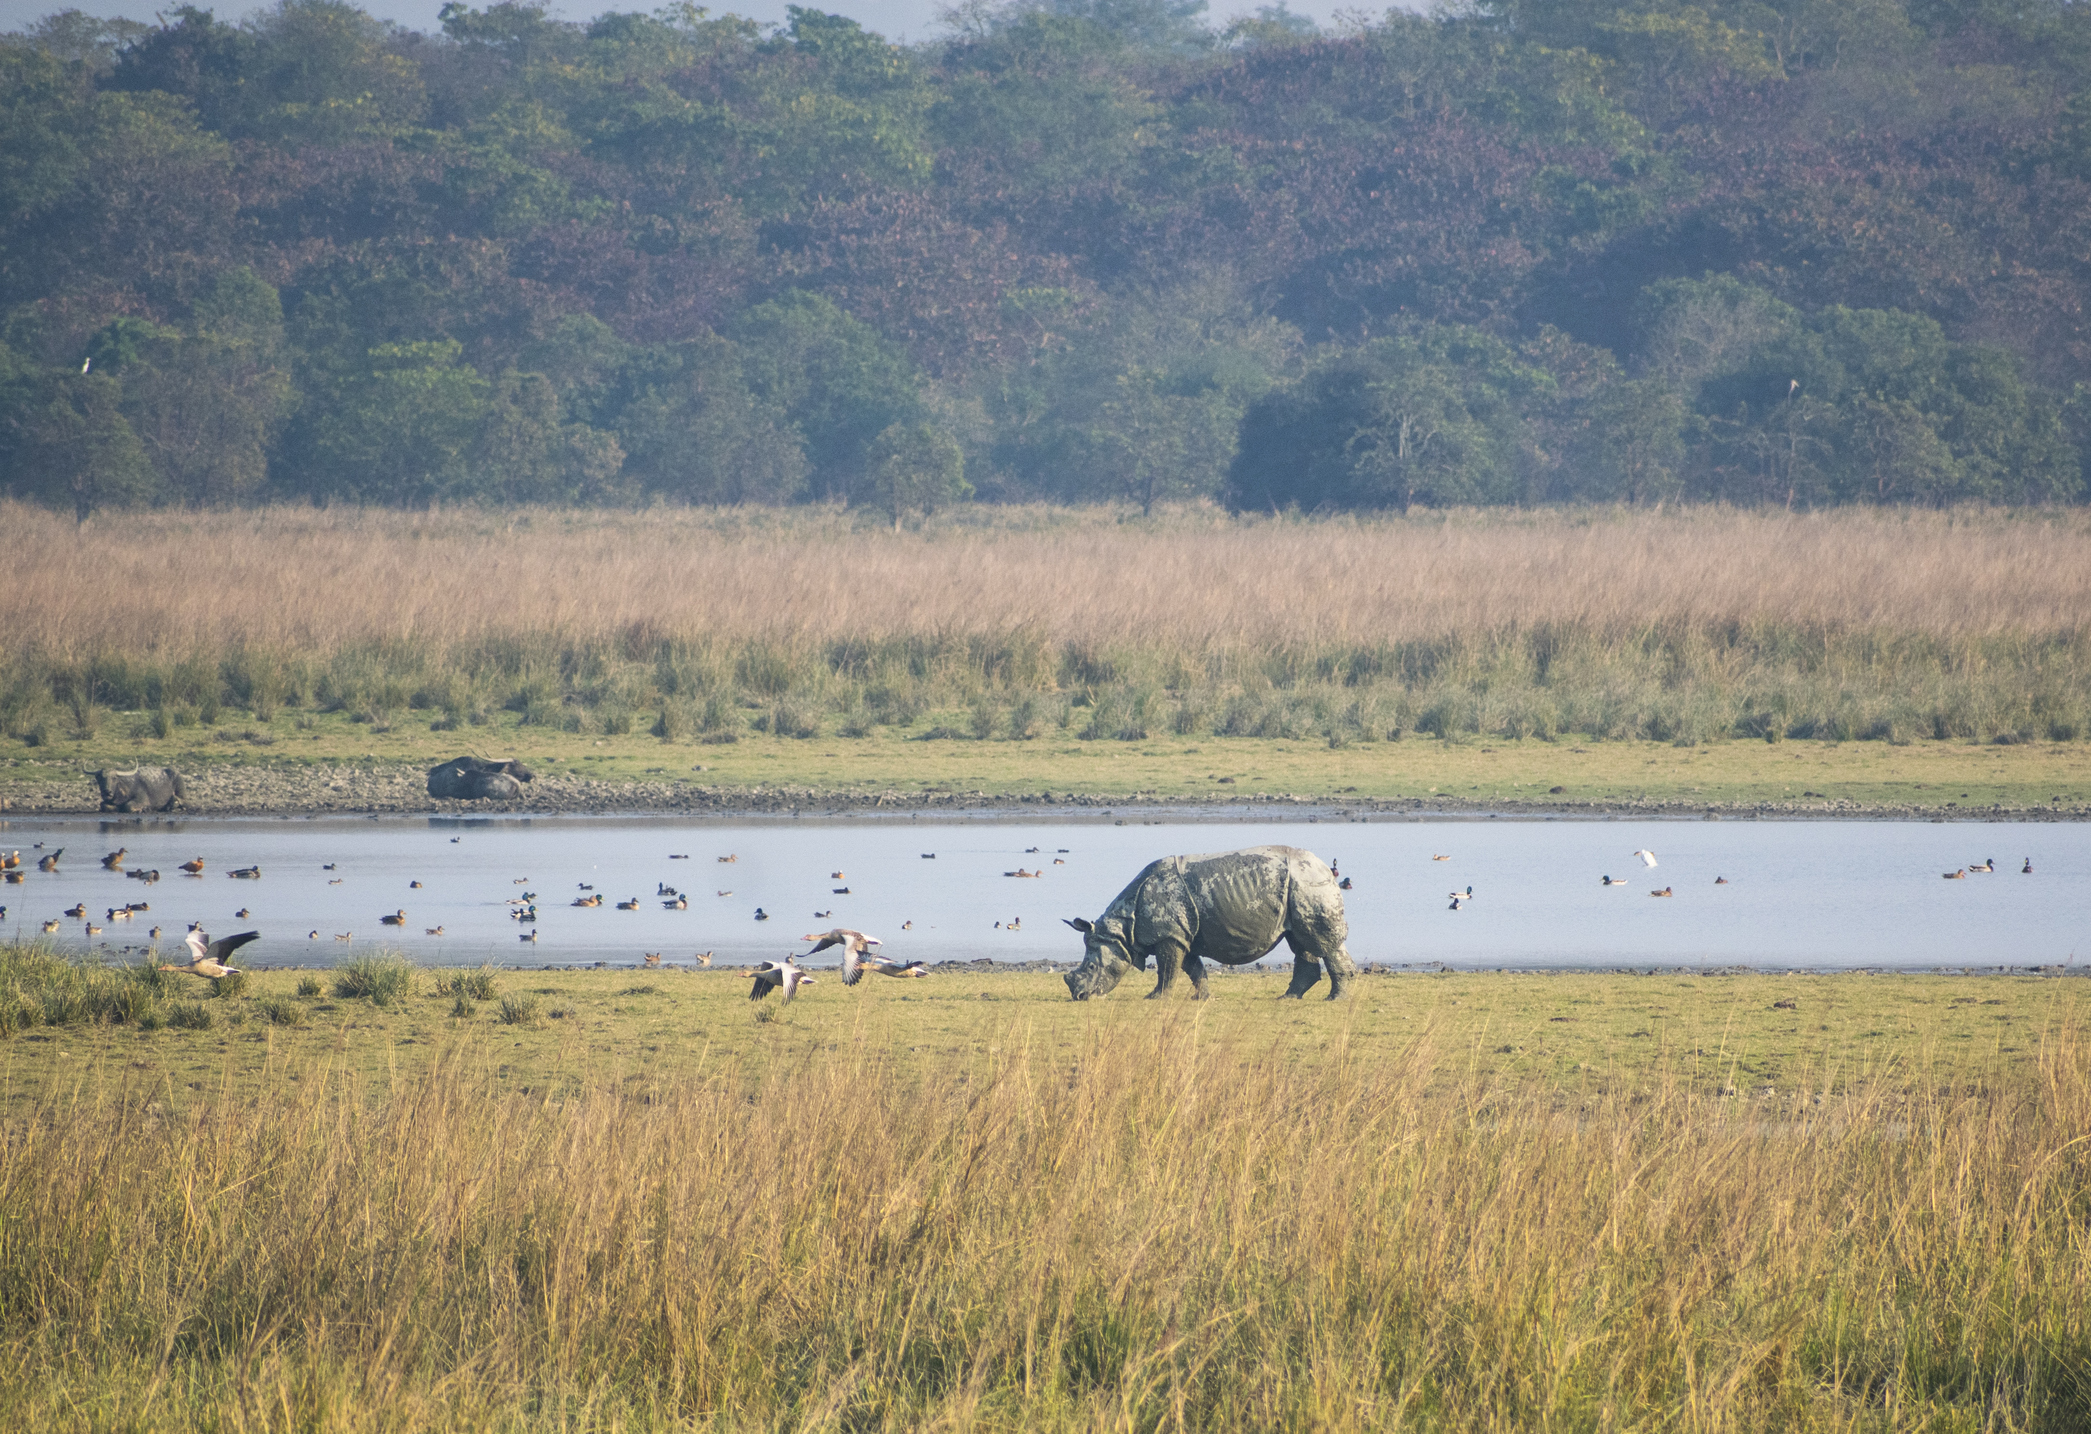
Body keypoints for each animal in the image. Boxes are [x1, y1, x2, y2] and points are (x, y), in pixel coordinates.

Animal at [1064, 844, 1358, 1002]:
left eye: (1092, 967)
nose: (1079, 996)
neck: (1122, 931)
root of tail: (1326, 868)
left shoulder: (1169, 935)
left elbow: (1167, 968)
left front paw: (1155, 998)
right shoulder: (1182, 934)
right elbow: (1193, 968)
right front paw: (1202, 998)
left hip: (1308, 885)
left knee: (1323, 943)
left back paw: (1334, 999)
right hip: (1298, 890)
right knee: (1301, 940)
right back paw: (1287, 998)